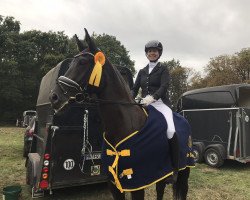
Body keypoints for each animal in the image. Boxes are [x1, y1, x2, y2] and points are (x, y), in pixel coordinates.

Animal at [48, 28, 193, 200]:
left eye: (82, 63)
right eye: (71, 64)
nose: (54, 97)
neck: (123, 124)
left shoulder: (138, 182)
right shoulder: (114, 183)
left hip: (184, 171)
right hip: (162, 173)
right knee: (160, 190)